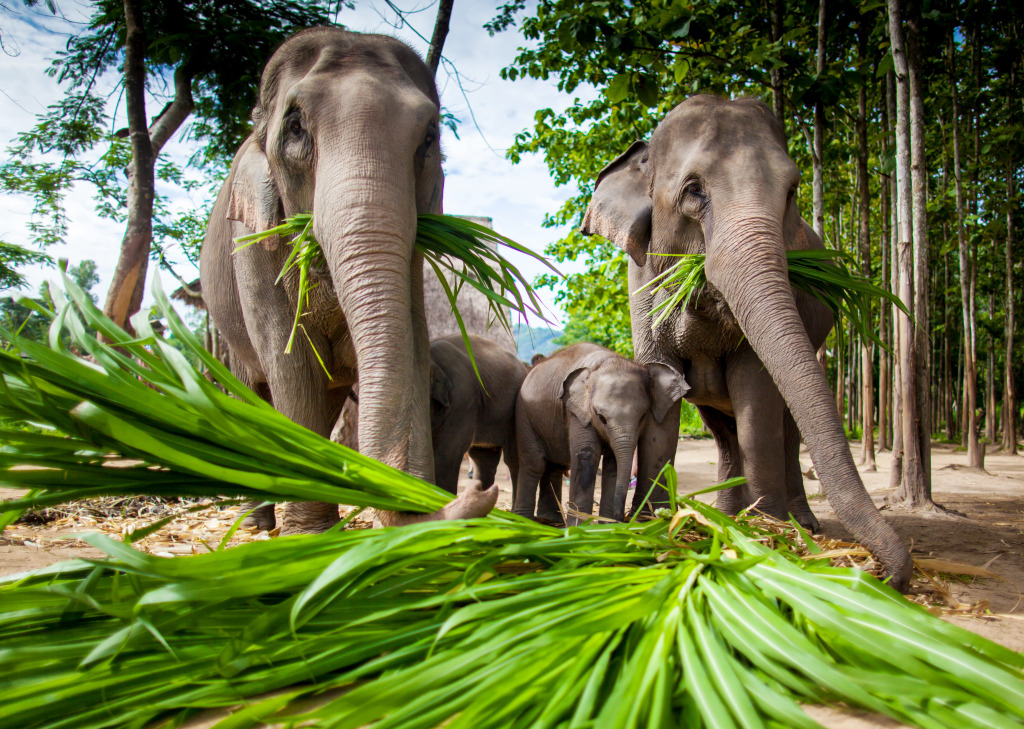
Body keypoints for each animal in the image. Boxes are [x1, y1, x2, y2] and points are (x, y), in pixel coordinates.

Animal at [198, 28, 495, 532]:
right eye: (295, 127)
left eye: (429, 137)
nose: (480, 493)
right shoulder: (253, 243)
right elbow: (291, 362)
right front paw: (310, 533)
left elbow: (411, 344)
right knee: (253, 388)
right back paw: (257, 522)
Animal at [512, 344, 688, 524]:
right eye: (601, 417)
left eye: (643, 417)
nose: (621, 518)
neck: (606, 361)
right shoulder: (577, 412)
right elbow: (586, 455)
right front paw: (580, 526)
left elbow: (613, 463)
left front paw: (607, 524)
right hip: (524, 415)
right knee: (534, 463)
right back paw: (524, 520)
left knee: (556, 466)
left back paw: (551, 520)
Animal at [577, 94, 913, 589]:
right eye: (693, 190)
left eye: (791, 191)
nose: (881, 574)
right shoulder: (638, 283)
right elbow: (662, 390)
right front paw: (653, 523)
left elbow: (757, 391)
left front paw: (767, 531)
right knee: (721, 430)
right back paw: (724, 514)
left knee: (785, 428)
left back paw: (795, 522)